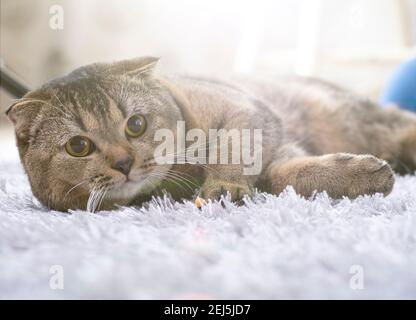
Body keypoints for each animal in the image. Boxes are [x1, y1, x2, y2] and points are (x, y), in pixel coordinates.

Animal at [5, 57, 416, 212]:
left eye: (136, 124)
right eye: (78, 146)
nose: (123, 162)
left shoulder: (246, 111)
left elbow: (230, 147)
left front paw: (224, 185)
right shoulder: (280, 155)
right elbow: (287, 175)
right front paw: (359, 175)